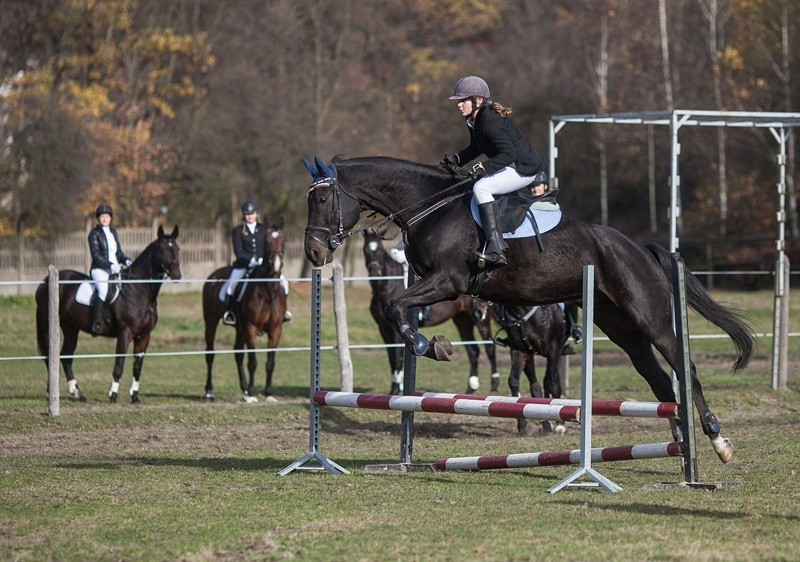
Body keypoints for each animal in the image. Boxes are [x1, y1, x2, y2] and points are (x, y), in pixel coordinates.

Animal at [35, 224, 181, 402]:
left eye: (177, 249)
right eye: (161, 249)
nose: (177, 275)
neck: (138, 290)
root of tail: (44, 282)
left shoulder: (144, 336)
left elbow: (137, 367)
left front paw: (135, 396)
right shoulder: (125, 333)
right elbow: (119, 365)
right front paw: (113, 394)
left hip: (71, 329)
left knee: (65, 357)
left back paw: (77, 393)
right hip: (46, 325)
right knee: (50, 358)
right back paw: (52, 393)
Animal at [202, 217, 290, 400]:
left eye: (283, 240)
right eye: (266, 241)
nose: (276, 265)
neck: (268, 291)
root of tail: (213, 276)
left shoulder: (276, 329)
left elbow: (270, 362)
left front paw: (268, 392)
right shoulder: (251, 327)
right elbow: (253, 362)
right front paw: (252, 391)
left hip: (239, 328)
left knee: (237, 353)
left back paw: (243, 389)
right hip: (211, 322)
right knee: (210, 353)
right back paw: (209, 391)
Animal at [360, 228, 496, 394]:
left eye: (379, 250)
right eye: (365, 251)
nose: (375, 273)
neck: (387, 288)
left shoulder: (395, 331)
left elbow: (398, 358)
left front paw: (396, 388)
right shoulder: (383, 329)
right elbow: (392, 358)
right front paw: (394, 387)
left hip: (481, 320)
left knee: (489, 348)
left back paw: (494, 384)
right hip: (462, 321)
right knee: (473, 351)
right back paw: (471, 387)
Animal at [494, 302, 568, 434]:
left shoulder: (554, 352)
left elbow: (554, 385)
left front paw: (560, 425)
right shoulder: (521, 351)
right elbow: (513, 381)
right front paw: (523, 425)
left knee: (549, 380)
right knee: (537, 382)